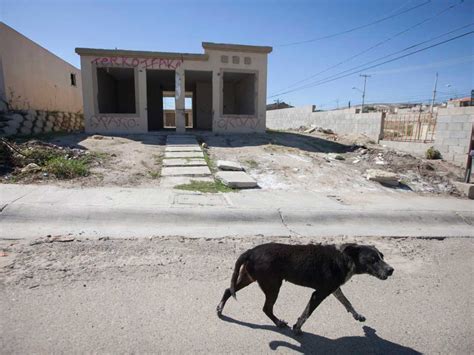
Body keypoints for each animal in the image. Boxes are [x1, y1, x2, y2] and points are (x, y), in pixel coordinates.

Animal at [217, 243, 394, 336]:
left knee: (227, 290)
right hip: (273, 285)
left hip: (249, 278)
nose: (391, 270)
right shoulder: (319, 294)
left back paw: (220, 309)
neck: (345, 259)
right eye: (373, 259)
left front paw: (357, 315)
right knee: (266, 308)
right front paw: (297, 328)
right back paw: (279, 322)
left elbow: (347, 302)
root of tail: (250, 251)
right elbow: (306, 313)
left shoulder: (333, 289)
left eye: (382, 256)